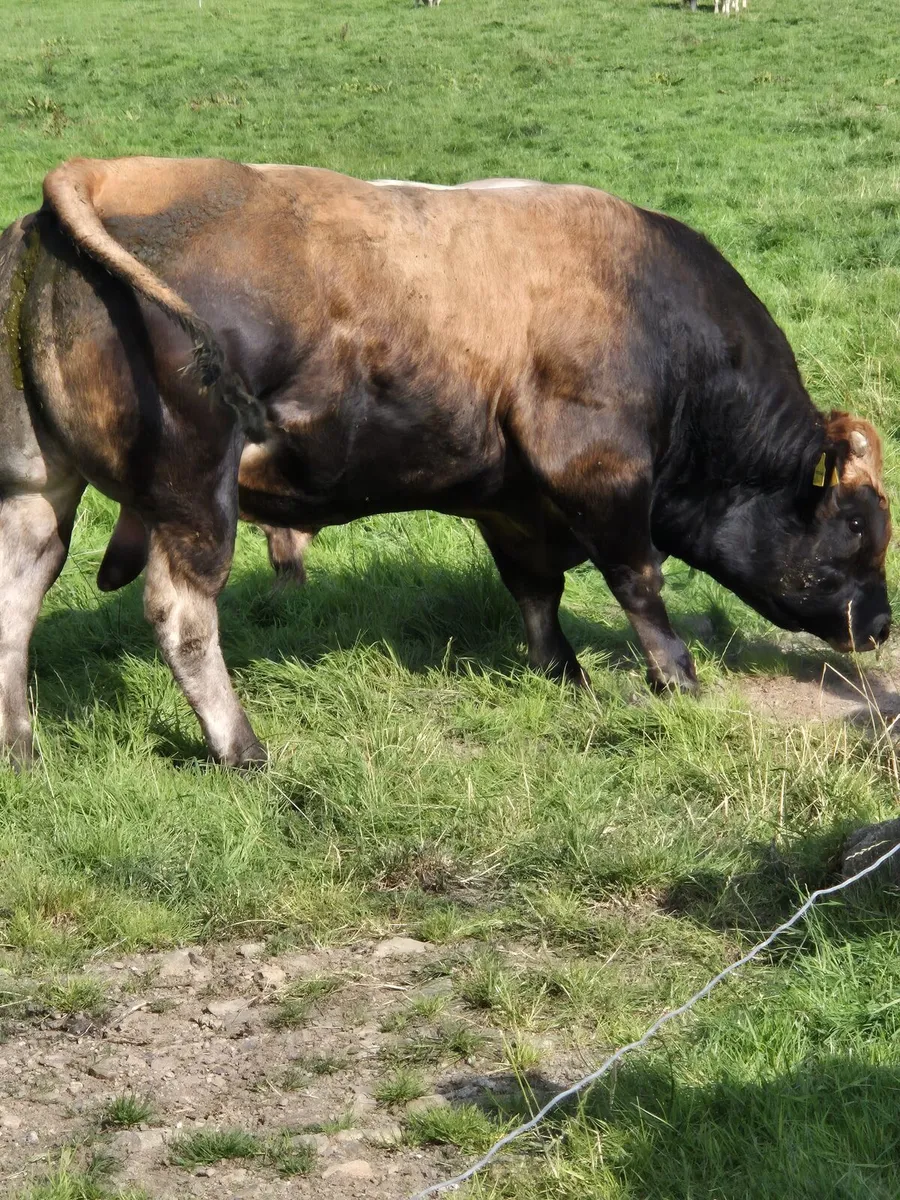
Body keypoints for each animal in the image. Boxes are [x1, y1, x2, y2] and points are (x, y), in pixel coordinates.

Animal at [0, 157, 891, 767]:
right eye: (856, 528)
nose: (882, 624)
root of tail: (105, 172)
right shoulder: (599, 472)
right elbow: (639, 581)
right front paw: (678, 681)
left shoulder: (512, 500)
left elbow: (536, 591)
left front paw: (564, 676)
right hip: (194, 496)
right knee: (180, 616)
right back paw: (241, 747)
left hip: (38, 487)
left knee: (15, 603)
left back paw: (22, 748)